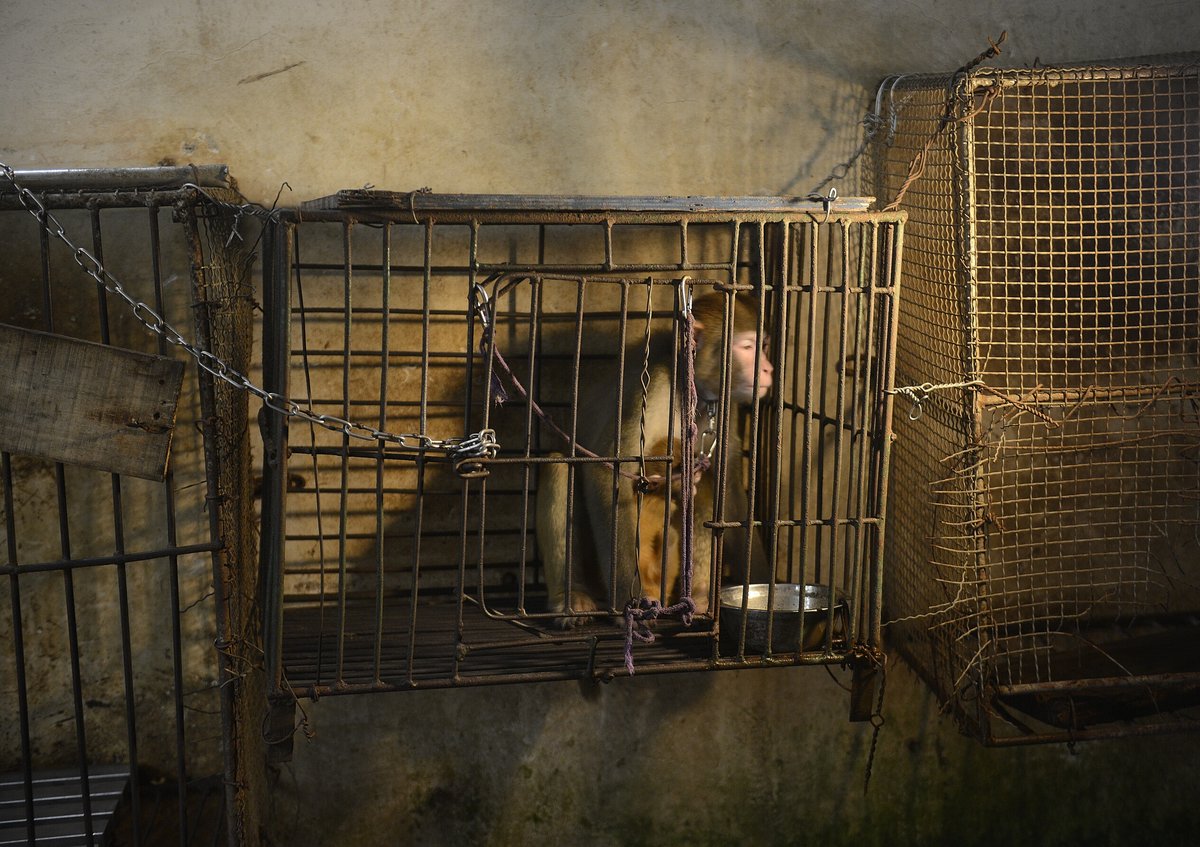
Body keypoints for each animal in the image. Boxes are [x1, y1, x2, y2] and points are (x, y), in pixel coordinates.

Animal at [540, 290, 772, 628]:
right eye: (747, 348)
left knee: (704, 486)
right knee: (559, 466)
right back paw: (572, 597)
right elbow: (607, 472)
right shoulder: (652, 388)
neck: (688, 389)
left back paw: (699, 596)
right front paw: (627, 601)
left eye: (763, 347)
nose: (767, 369)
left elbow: (727, 488)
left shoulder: (721, 404)